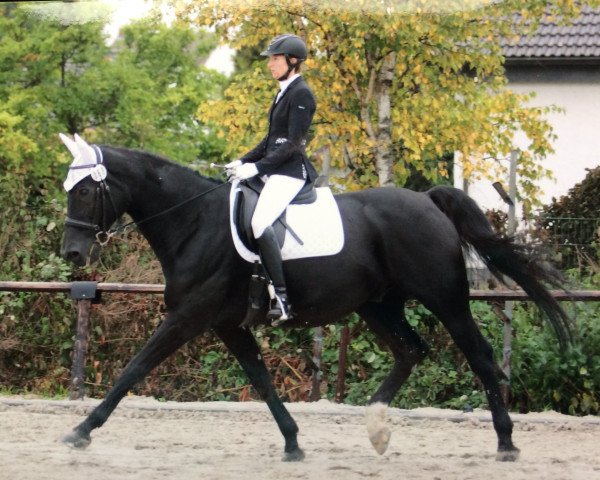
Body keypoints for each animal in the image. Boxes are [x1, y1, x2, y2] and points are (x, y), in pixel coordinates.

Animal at [61, 139, 572, 462]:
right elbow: (262, 382)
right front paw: (292, 443)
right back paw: (376, 427)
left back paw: (505, 443)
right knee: (410, 350)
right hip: (378, 304)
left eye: (84, 190)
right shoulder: (227, 324)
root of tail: (427, 200)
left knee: (480, 358)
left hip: (446, 300)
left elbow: (134, 369)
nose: (72, 253)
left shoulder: (188, 317)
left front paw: (80, 431)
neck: (195, 221)